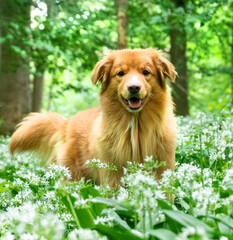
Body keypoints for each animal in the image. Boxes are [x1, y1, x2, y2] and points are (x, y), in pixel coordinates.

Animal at [9, 48, 177, 187]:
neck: (134, 126)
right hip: (73, 176)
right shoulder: (112, 174)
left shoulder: (164, 168)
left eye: (146, 72)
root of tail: (67, 122)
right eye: (120, 73)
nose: (134, 87)